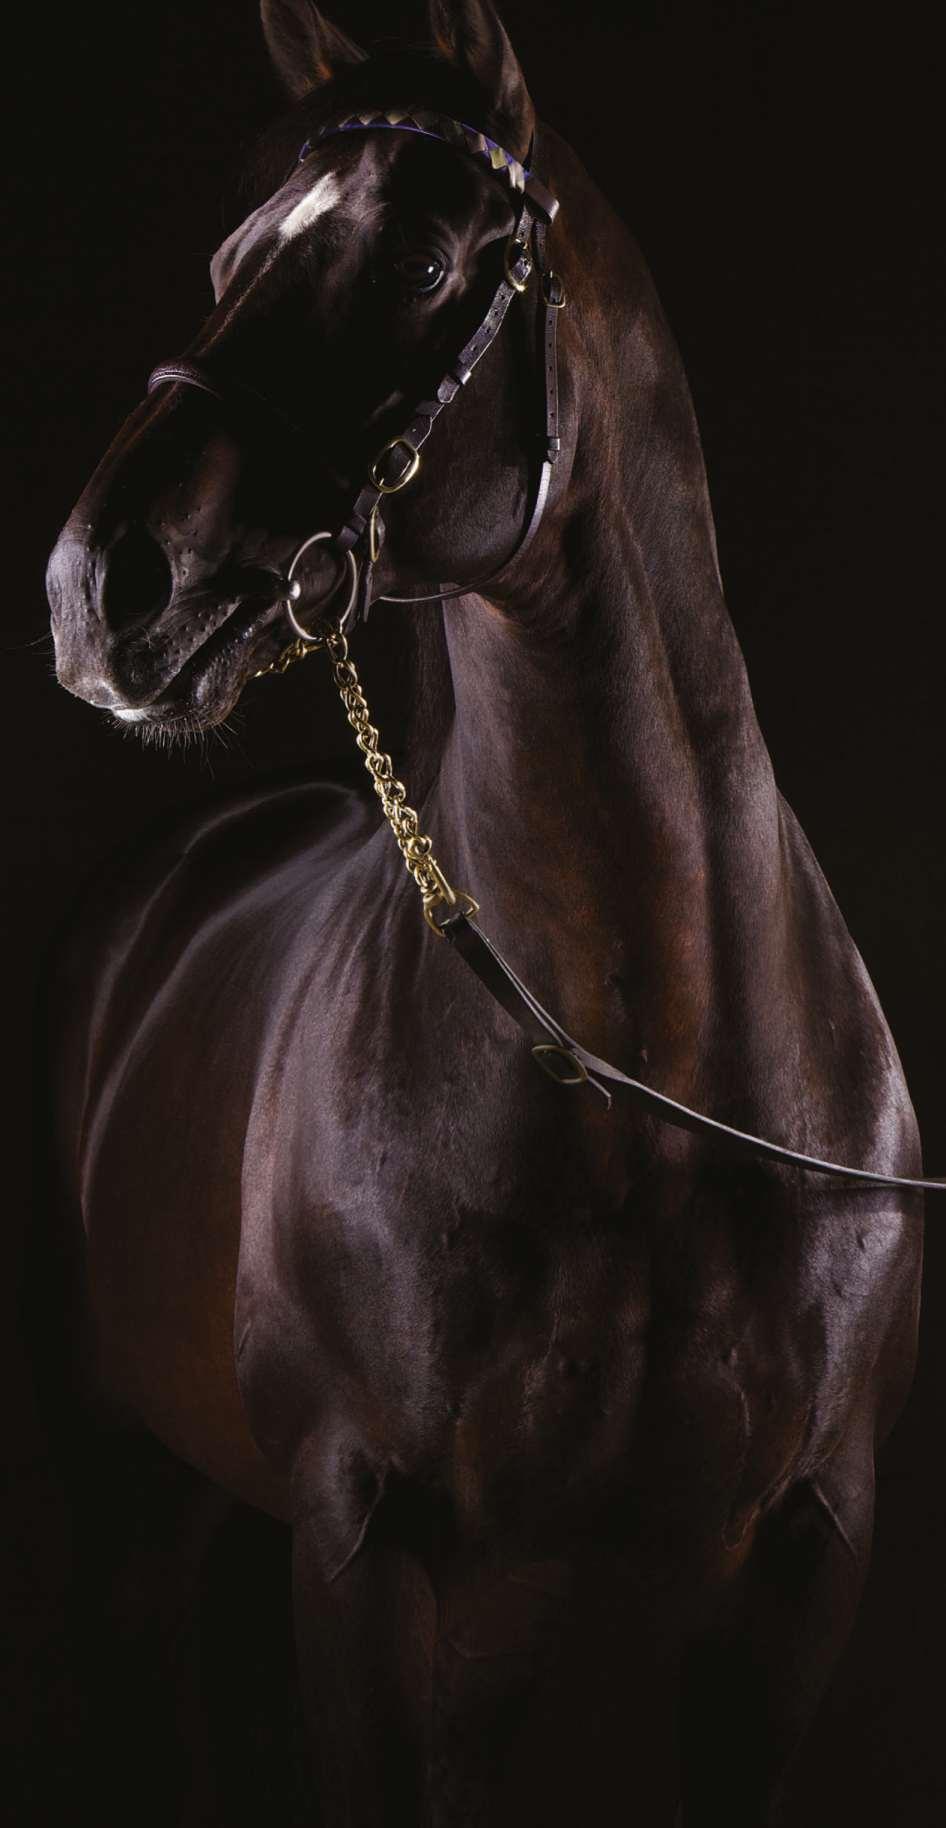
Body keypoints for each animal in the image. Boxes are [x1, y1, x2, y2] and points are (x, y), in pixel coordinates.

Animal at [44, 2, 925, 1821]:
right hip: (126, 1483)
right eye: (231, 259)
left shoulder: (796, 1564)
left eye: (427, 260)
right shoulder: (372, 1550)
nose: (99, 588)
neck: (647, 1070)